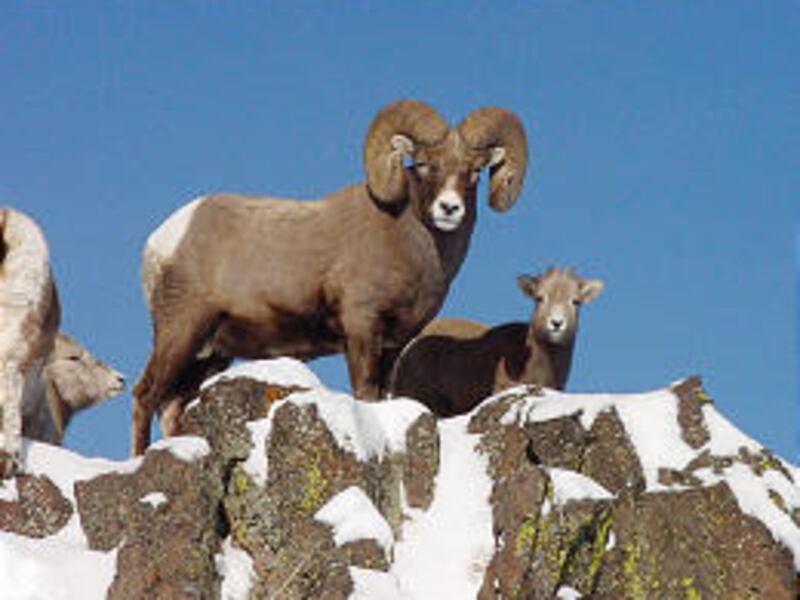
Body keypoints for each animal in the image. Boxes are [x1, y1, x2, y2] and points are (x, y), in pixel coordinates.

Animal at [132, 99, 529, 455]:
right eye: (422, 164)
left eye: (474, 172)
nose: (449, 209)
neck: (406, 240)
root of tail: (163, 239)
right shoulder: (361, 328)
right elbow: (365, 393)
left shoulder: (393, 345)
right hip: (180, 331)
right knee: (145, 396)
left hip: (208, 354)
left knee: (170, 408)